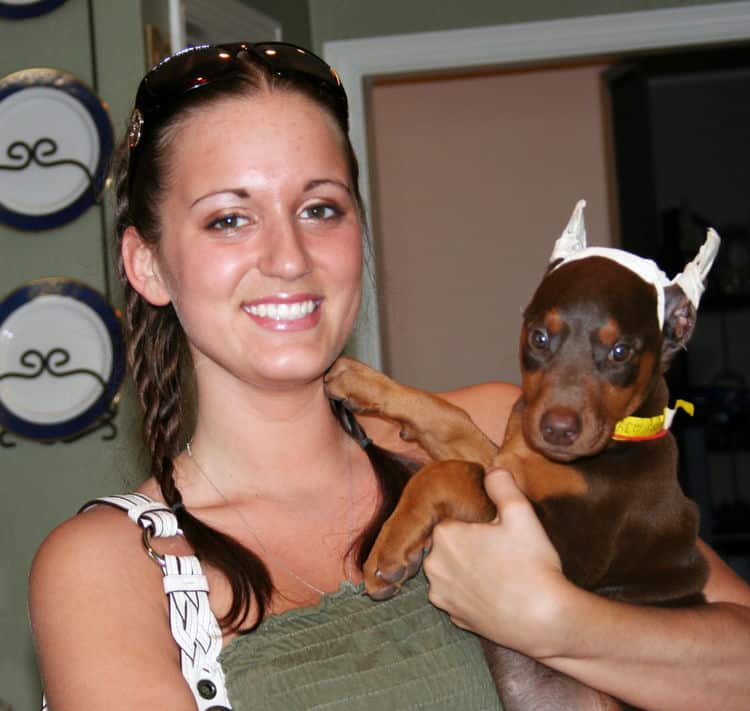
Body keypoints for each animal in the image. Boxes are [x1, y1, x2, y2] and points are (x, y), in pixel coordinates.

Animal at [324, 202, 724, 711]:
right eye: (538, 338)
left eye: (620, 352)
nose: (557, 430)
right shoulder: (509, 457)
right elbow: (451, 419)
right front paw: (360, 380)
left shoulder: (566, 550)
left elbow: (449, 473)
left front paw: (391, 549)